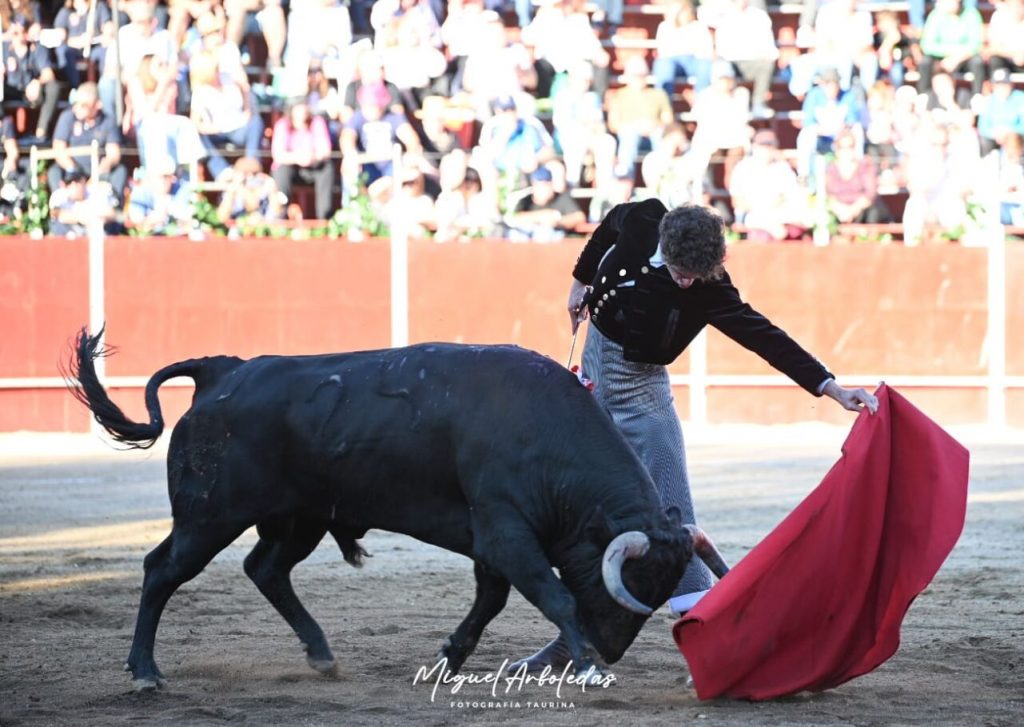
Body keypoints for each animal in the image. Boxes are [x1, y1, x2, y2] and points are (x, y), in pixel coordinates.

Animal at [68, 333, 724, 692]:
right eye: (627, 583)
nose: (609, 649)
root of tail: (223, 371)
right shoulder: (506, 530)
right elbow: (553, 595)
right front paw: (586, 668)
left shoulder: (491, 539)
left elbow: (492, 599)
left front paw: (450, 656)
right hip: (209, 516)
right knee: (162, 570)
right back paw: (145, 671)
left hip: (301, 517)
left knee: (266, 569)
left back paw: (322, 655)